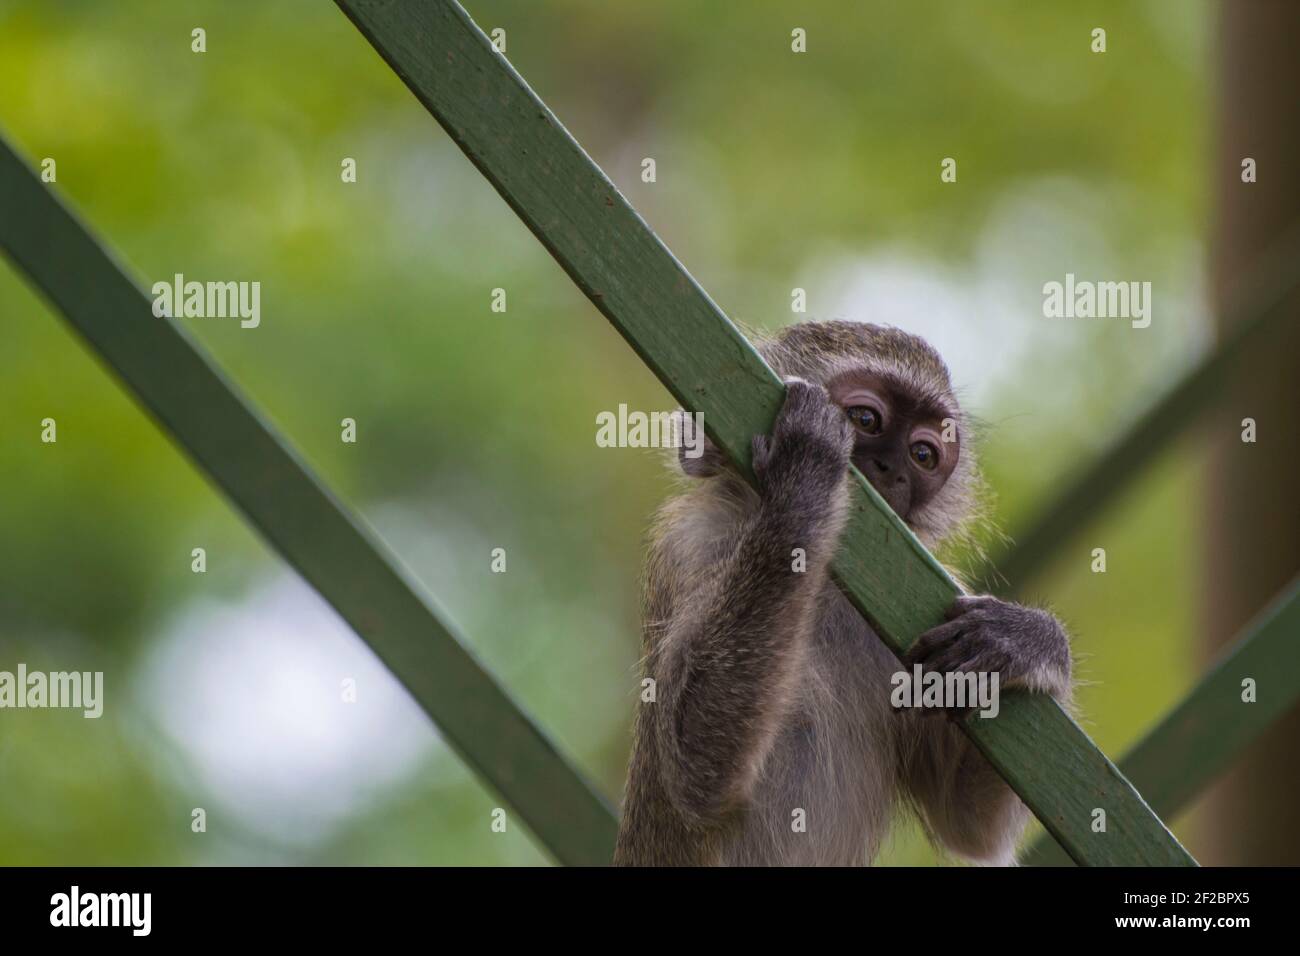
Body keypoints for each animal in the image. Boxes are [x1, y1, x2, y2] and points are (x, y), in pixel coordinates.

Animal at [613, 320, 1072, 866]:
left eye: (923, 455)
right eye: (865, 419)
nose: (891, 470)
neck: (826, 590)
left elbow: (970, 824)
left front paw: (1030, 640)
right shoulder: (691, 548)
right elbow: (697, 770)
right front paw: (804, 478)